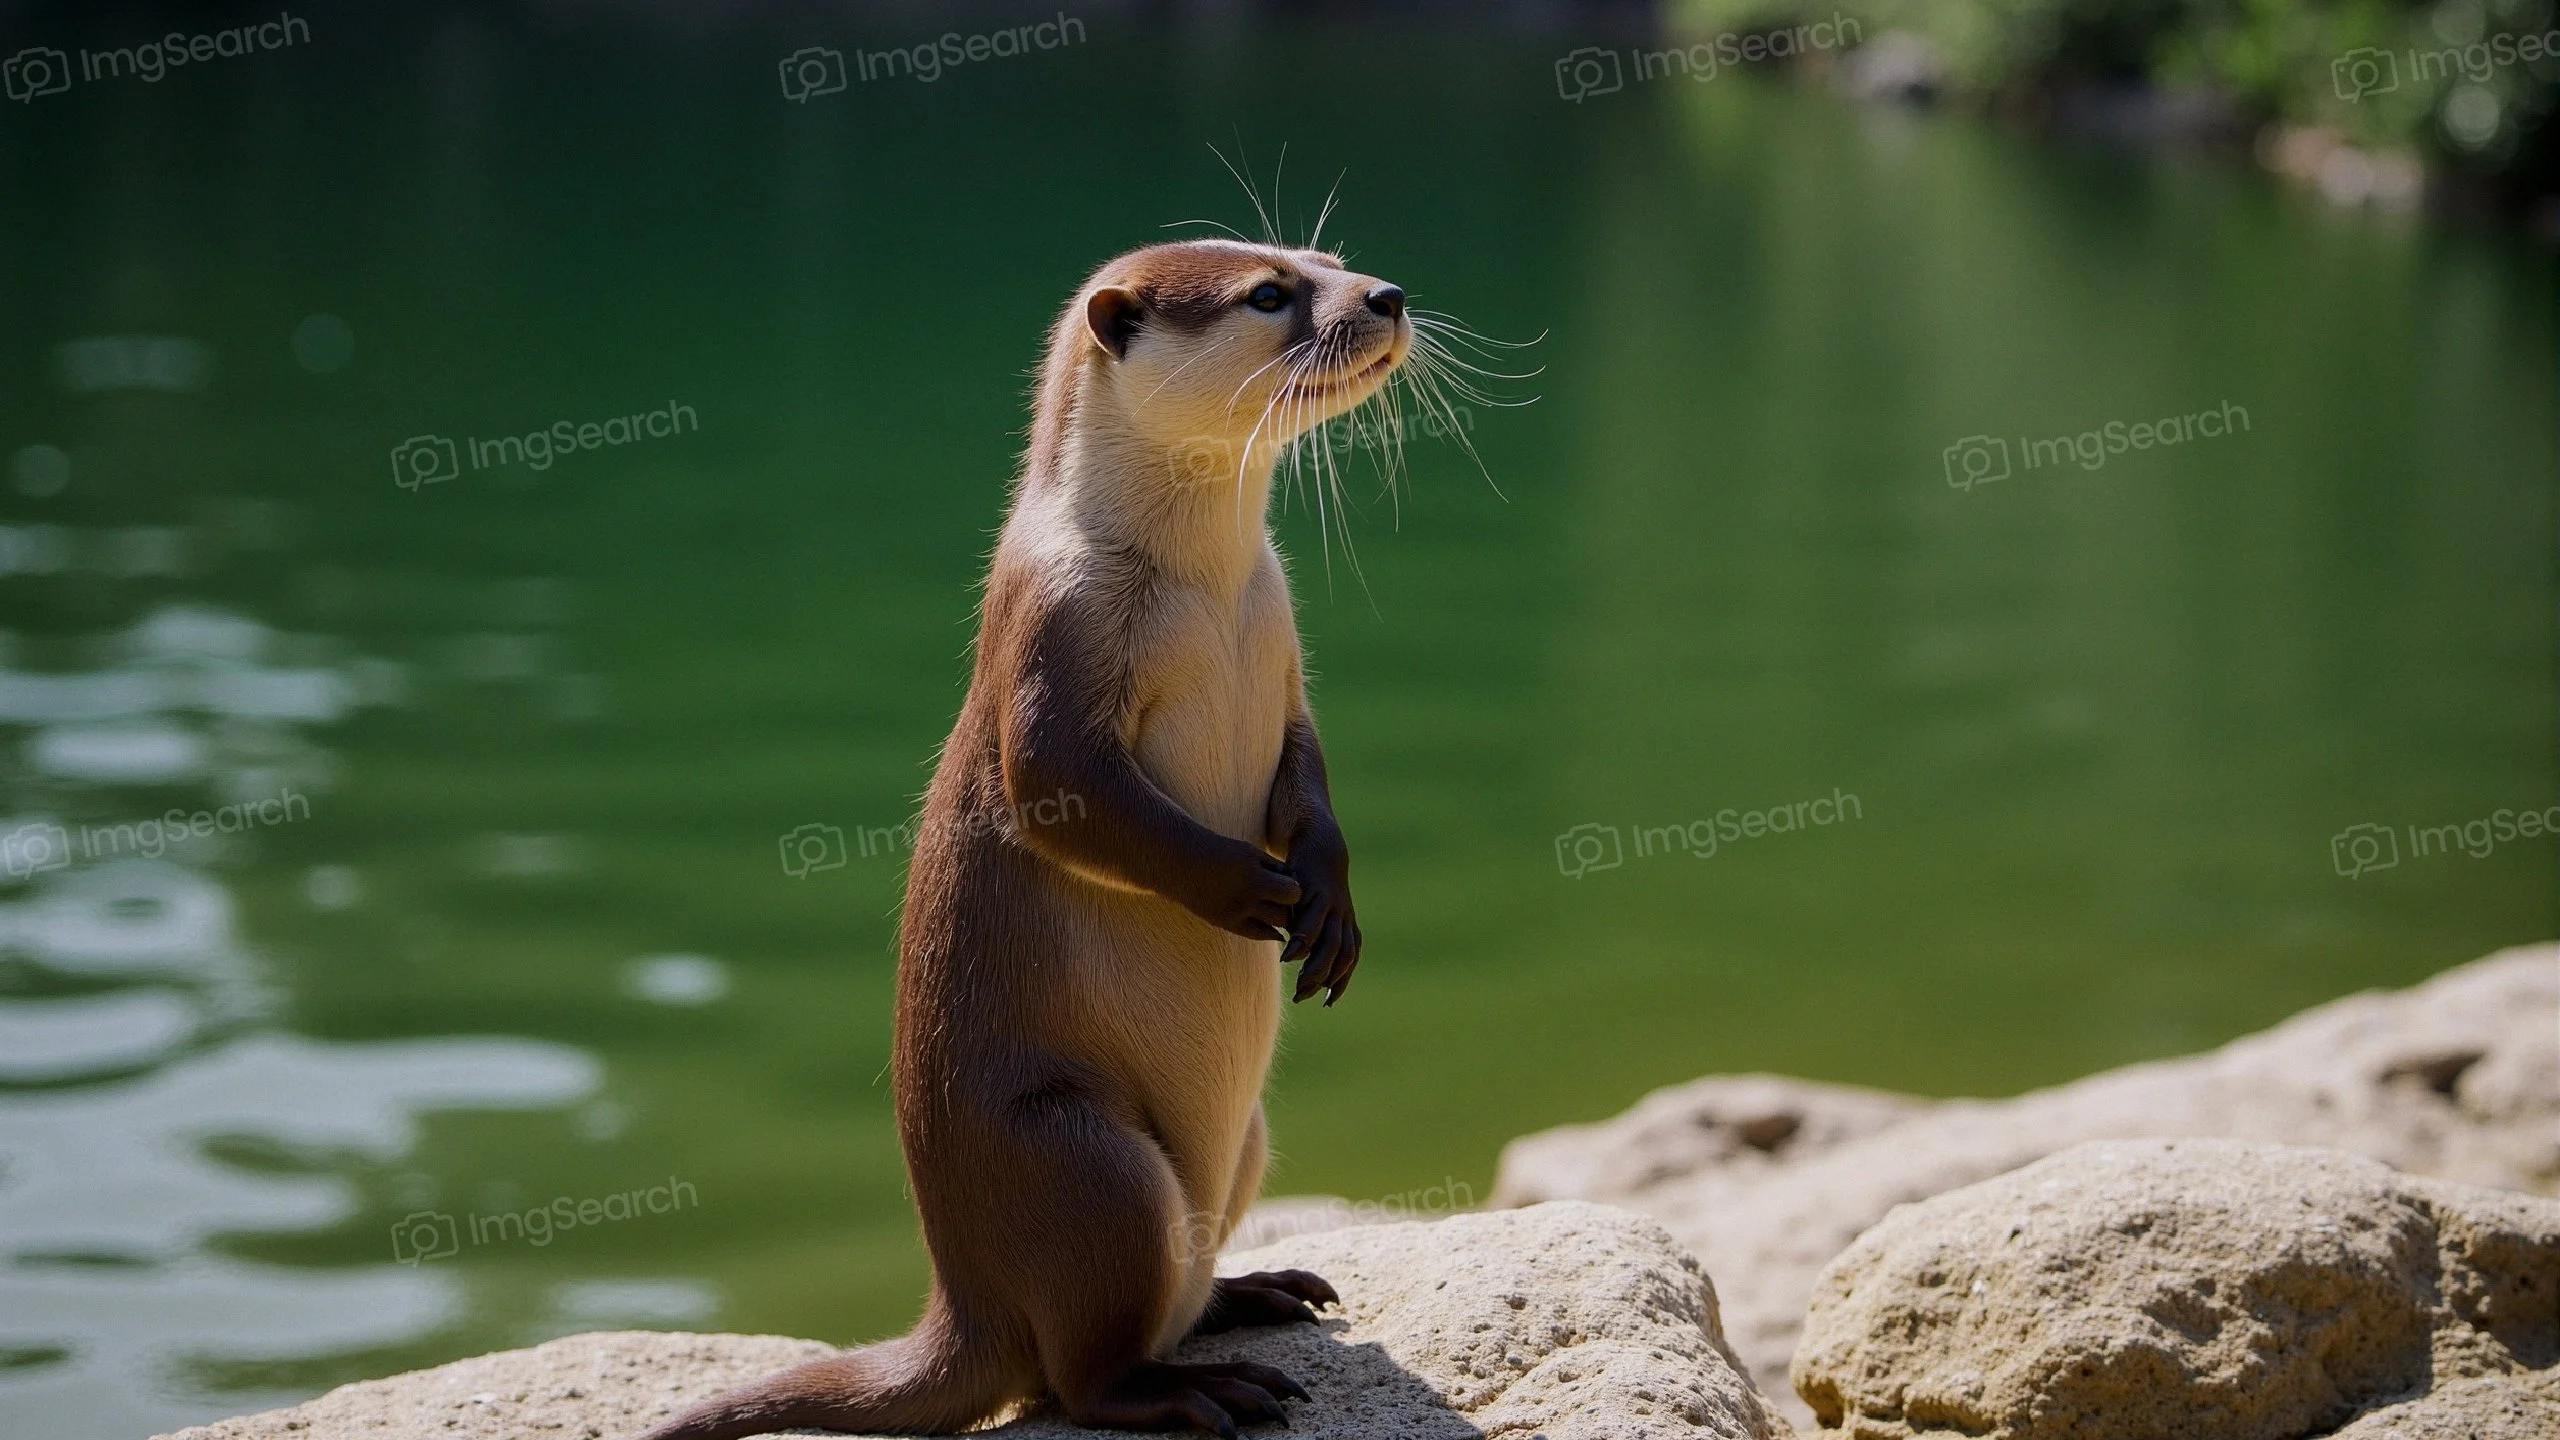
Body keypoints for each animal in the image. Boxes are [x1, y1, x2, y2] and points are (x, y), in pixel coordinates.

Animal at [637, 238, 1408, 1440]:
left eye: (1331, 257)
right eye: (1270, 293)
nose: (1386, 296)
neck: (1209, 591)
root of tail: (965, 1305)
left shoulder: (1287, 661)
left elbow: (1310, 778)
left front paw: (1327, 899)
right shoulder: (1053, 634)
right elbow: (1064, 795)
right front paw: (1248, 892)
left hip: (1246, 1144)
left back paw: (1256, 1292)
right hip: (1082, 1160)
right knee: (1077, 1377)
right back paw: (1195, 1390)